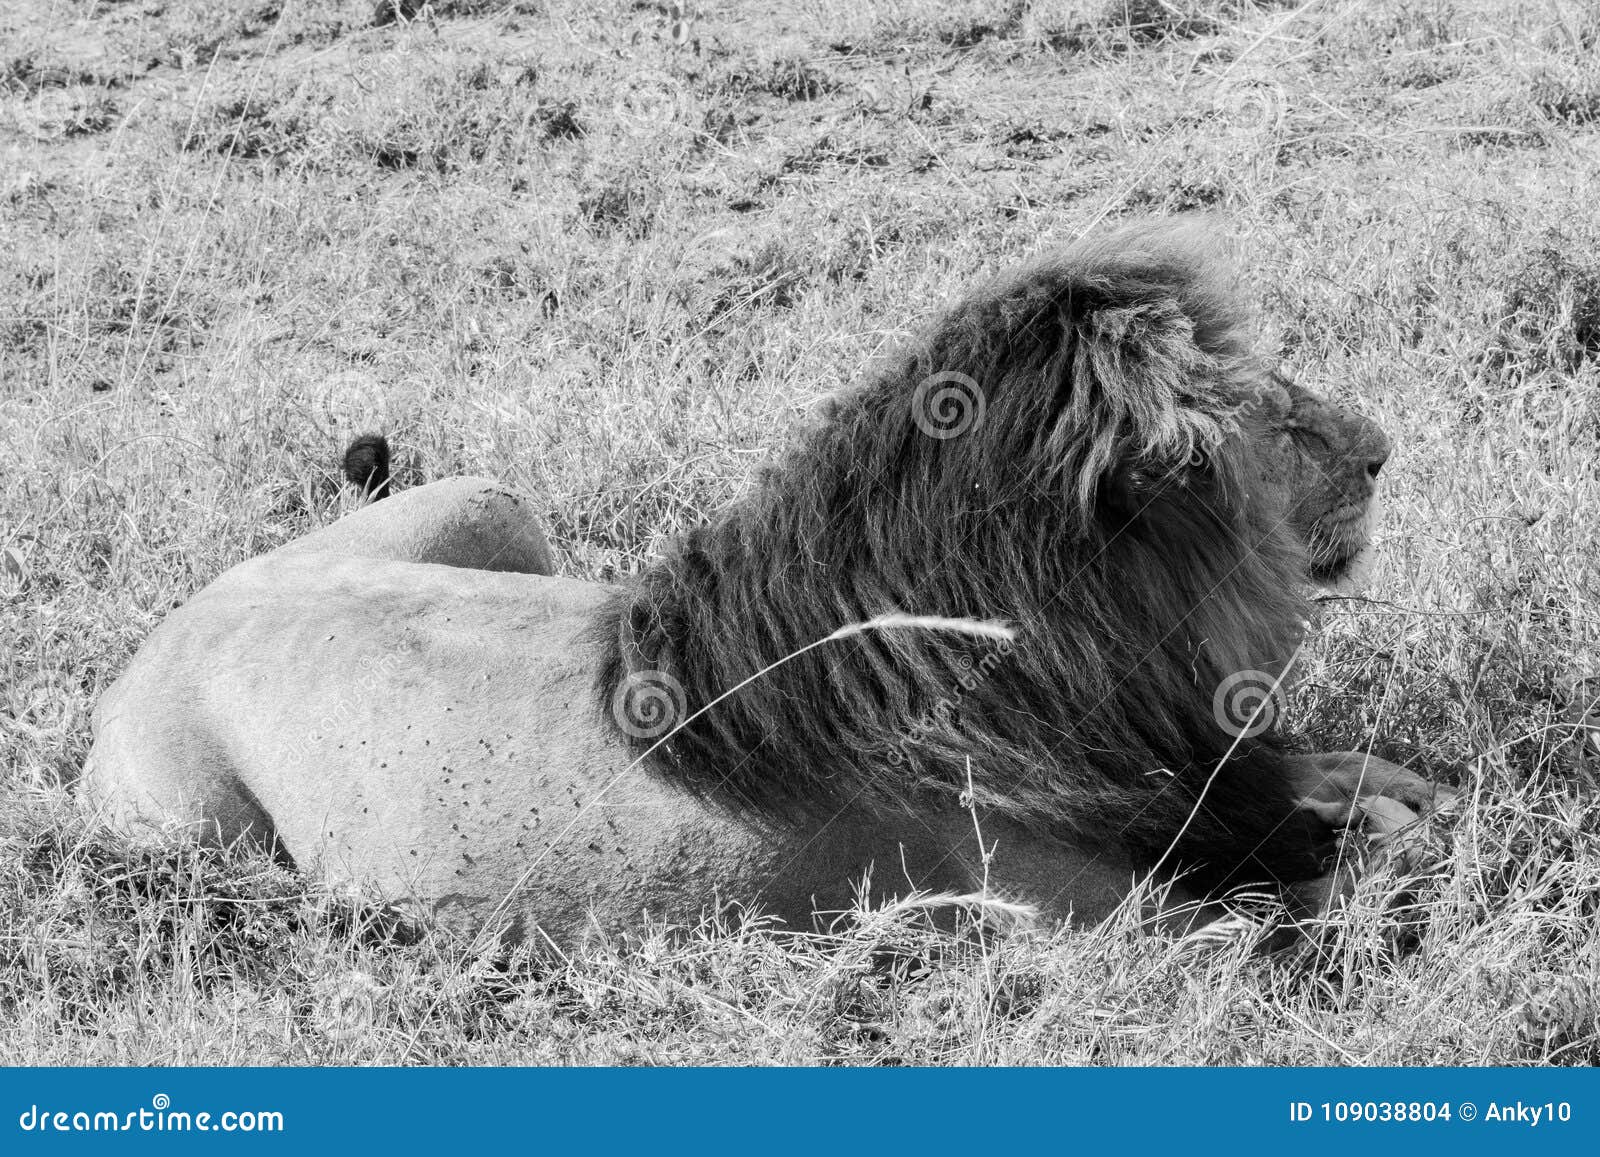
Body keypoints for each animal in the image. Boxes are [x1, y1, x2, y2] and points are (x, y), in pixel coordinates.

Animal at [81, 219, 1446, 947]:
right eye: (1277, 422)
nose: (1386, 445)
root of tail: (179, 621)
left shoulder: (1217, 769)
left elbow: (1343, 771)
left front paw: (1402, 790)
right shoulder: (1100, 922)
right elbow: (1341, 889)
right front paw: (1413, 842)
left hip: (492, 499)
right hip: (198, 835)